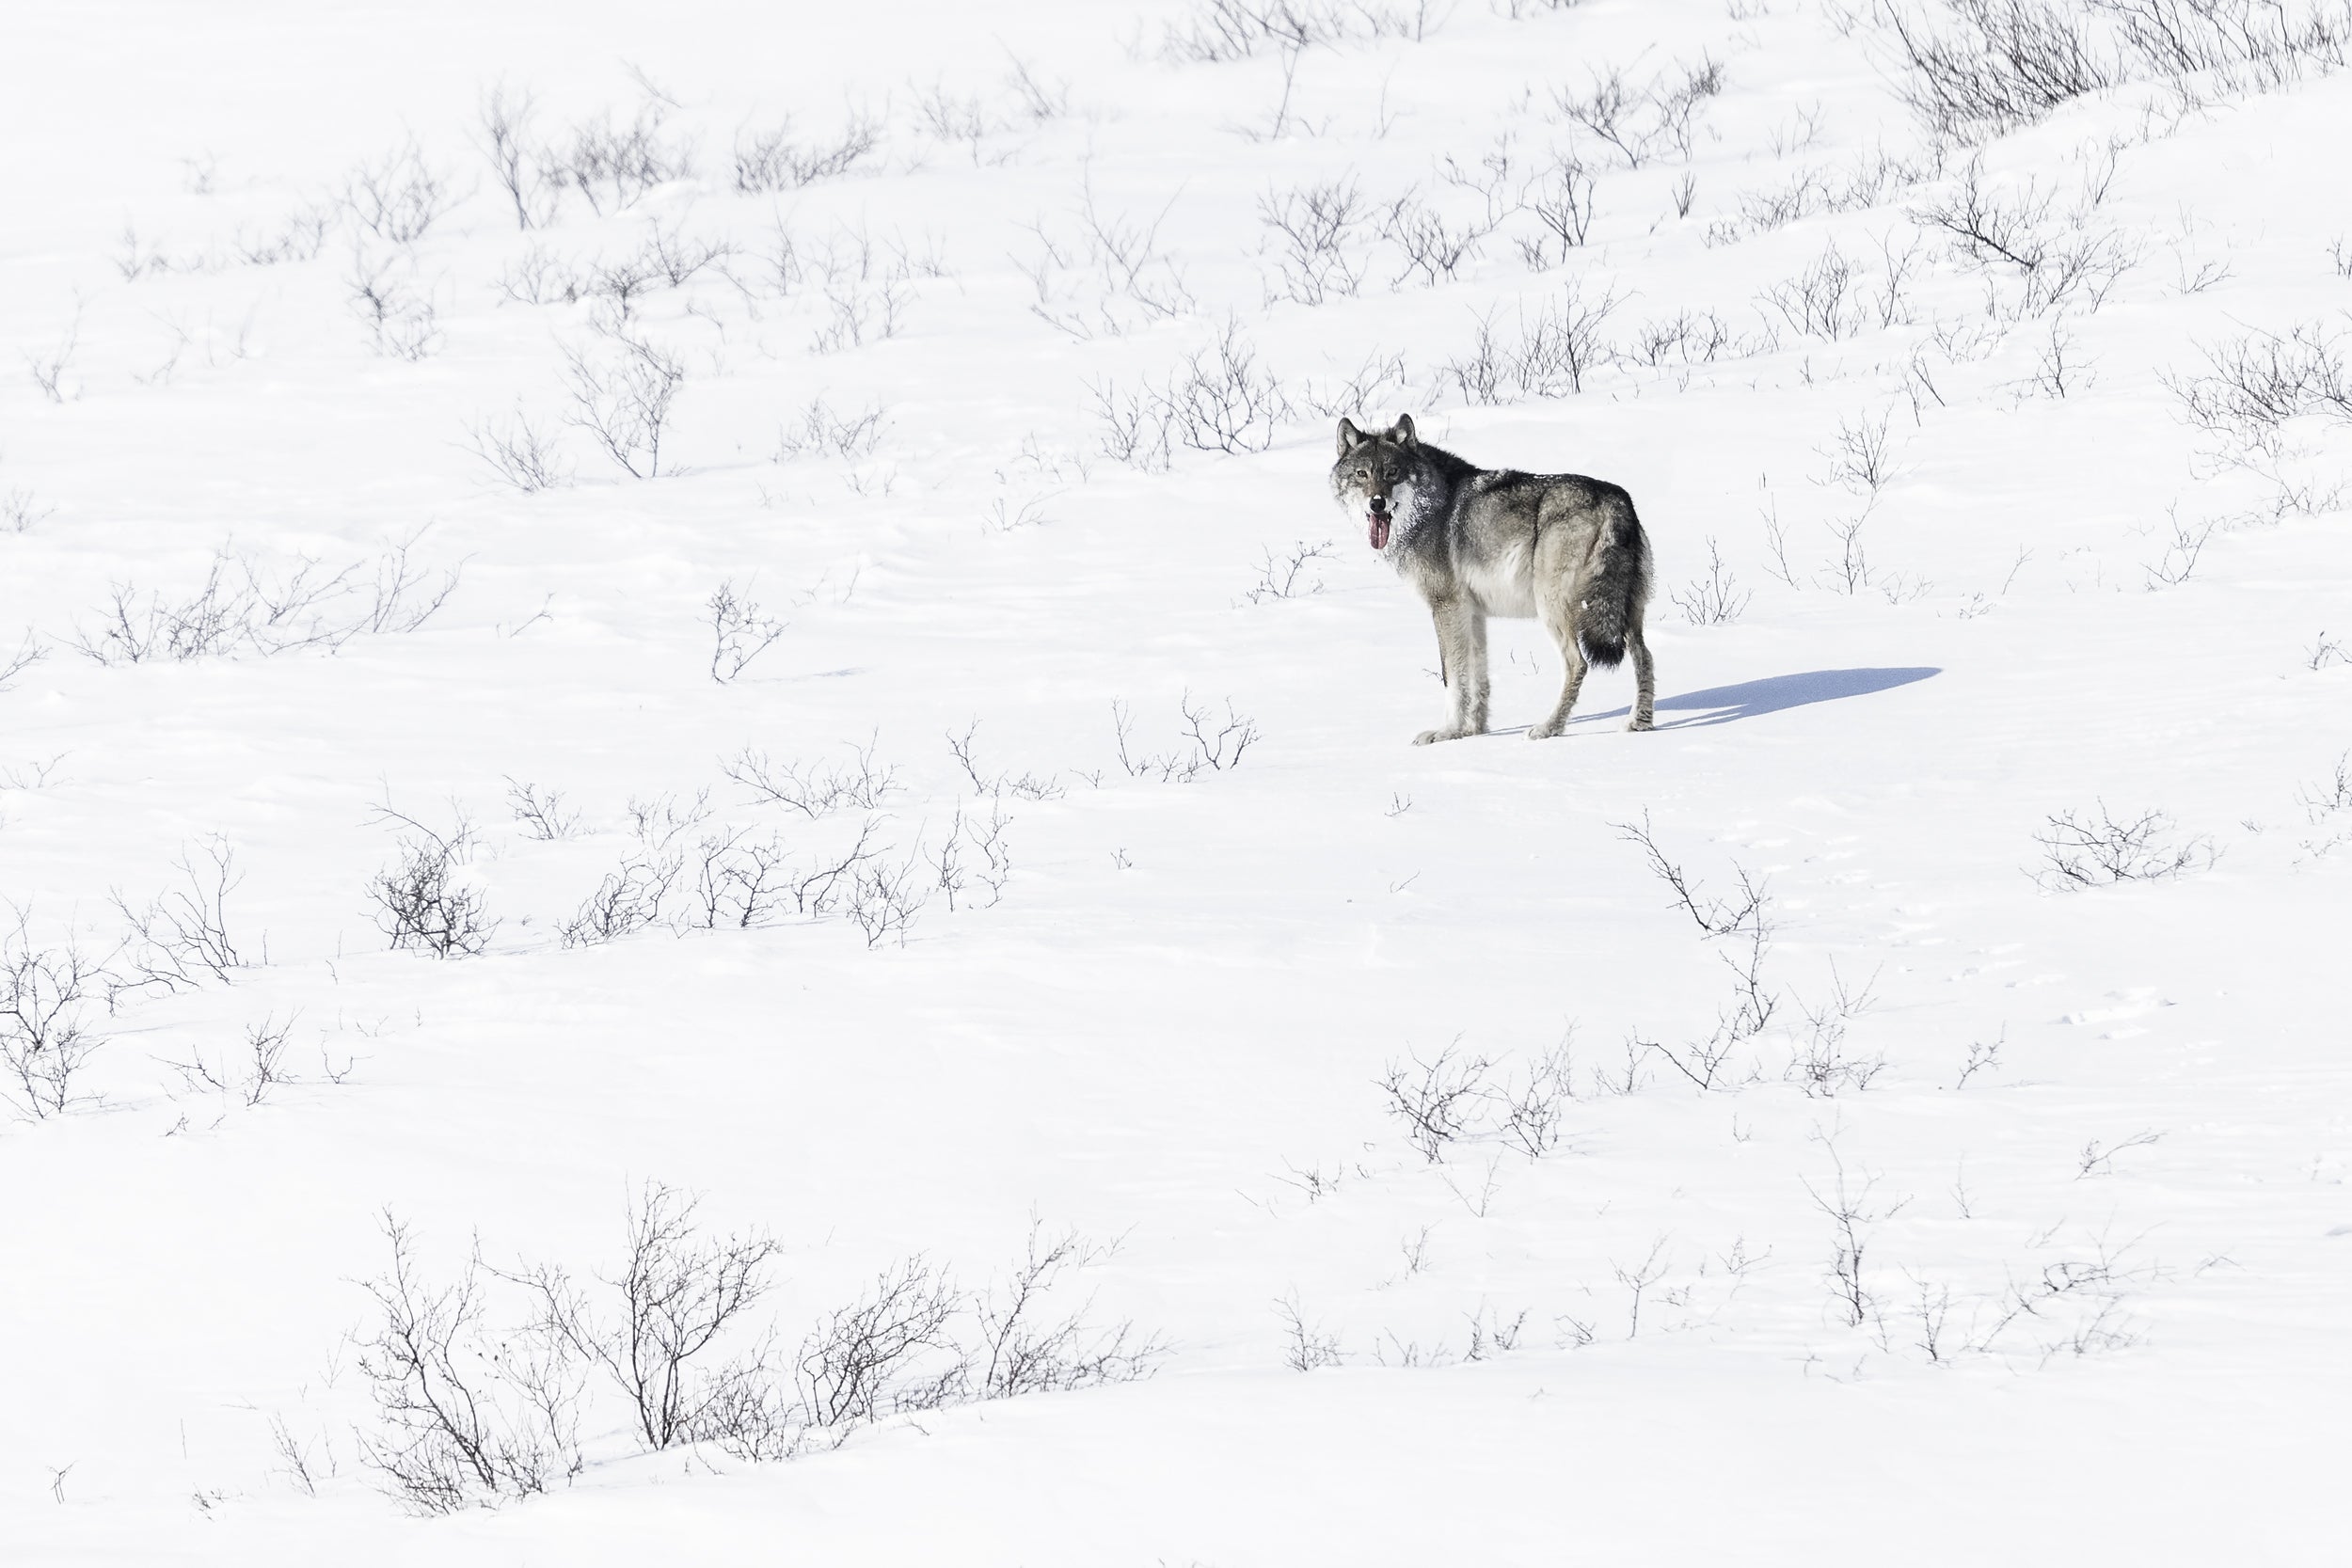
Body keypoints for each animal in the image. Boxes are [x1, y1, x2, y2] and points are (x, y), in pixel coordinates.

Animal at [1332, 414, 1655, 744]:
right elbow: (1477, 677)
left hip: (1553, 608)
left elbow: (1451, 677)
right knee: (1645, 656)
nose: (1377, 503)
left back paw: (1549, 728)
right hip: (1623, 614)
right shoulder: (1472, 613)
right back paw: (1639, 722)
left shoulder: (1446, 607)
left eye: (1392, 472)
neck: (1429, 506)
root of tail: (1616, 499)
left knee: (1578, 664)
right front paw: (1473, 731)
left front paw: (1446, 732)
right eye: (1362, 474)